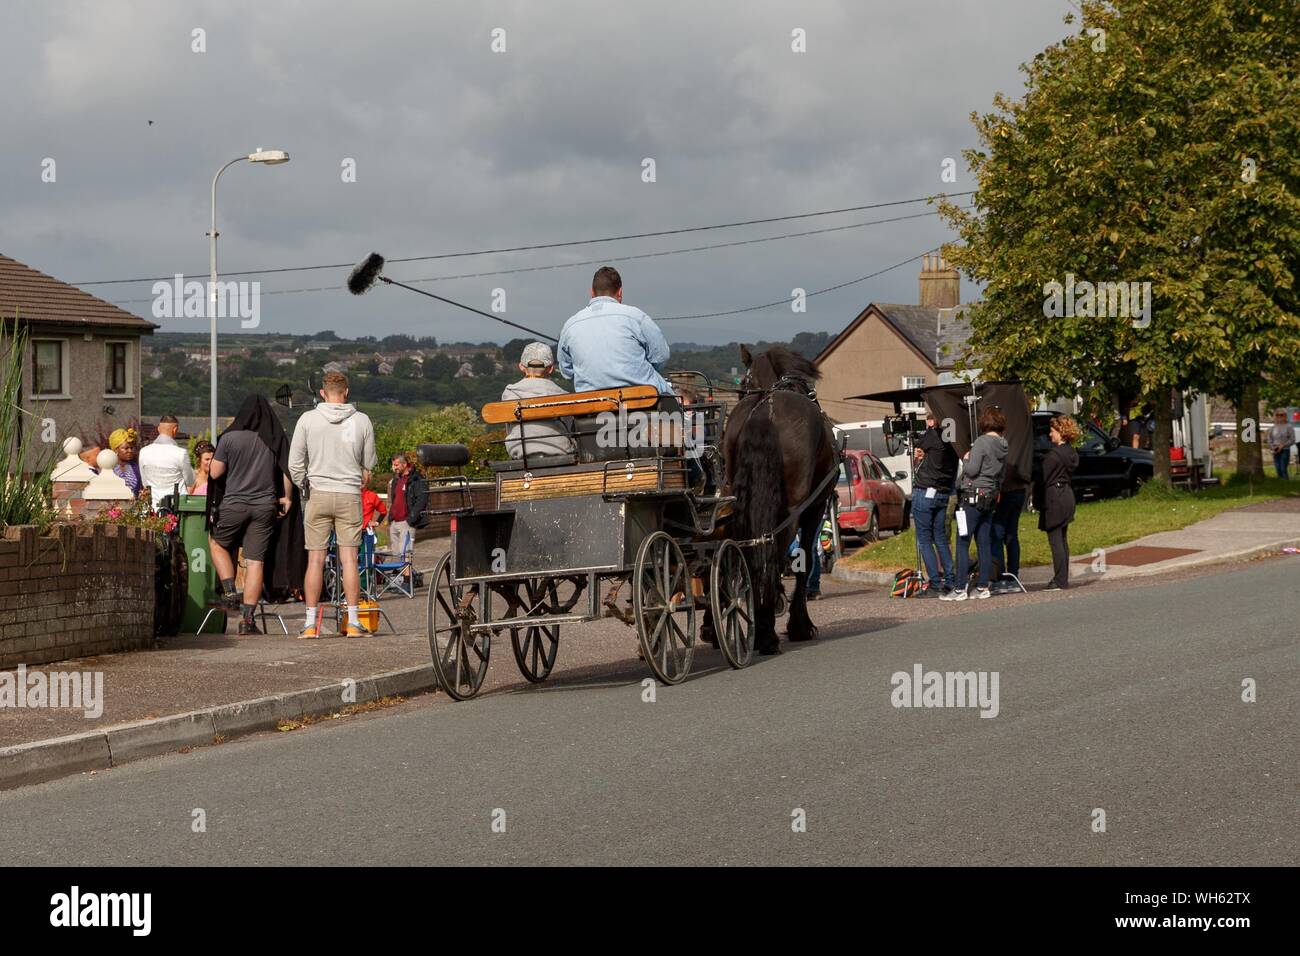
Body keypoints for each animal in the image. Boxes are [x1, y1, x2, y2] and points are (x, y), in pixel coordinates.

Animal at [728, 345, 837, 658]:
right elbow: (805, 560)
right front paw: (800, 624)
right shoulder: (815, 507)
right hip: (793, 509)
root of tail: (766, 409)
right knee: (774, 553)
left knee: (743, 551)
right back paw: (766, 633)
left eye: (744, 382)